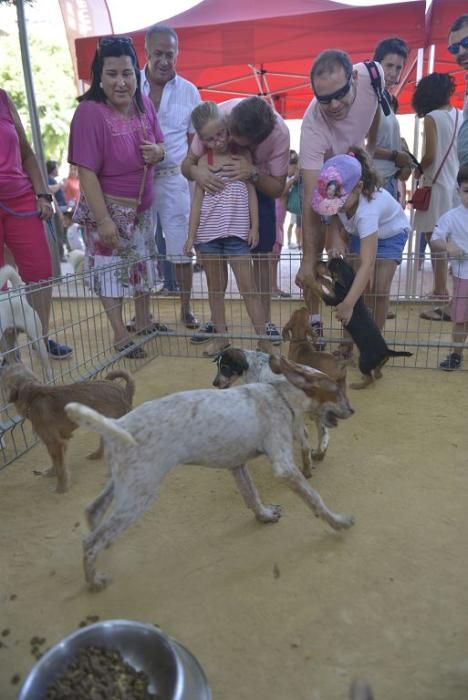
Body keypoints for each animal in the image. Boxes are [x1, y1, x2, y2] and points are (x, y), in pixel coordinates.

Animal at [2, 364, 133, 494]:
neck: (33, 395)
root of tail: (123, 391)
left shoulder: (55, 443)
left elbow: (60, 468)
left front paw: (61, 488)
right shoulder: (60, 442)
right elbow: (57, 463)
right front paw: (51, 472)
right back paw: (96, 455)